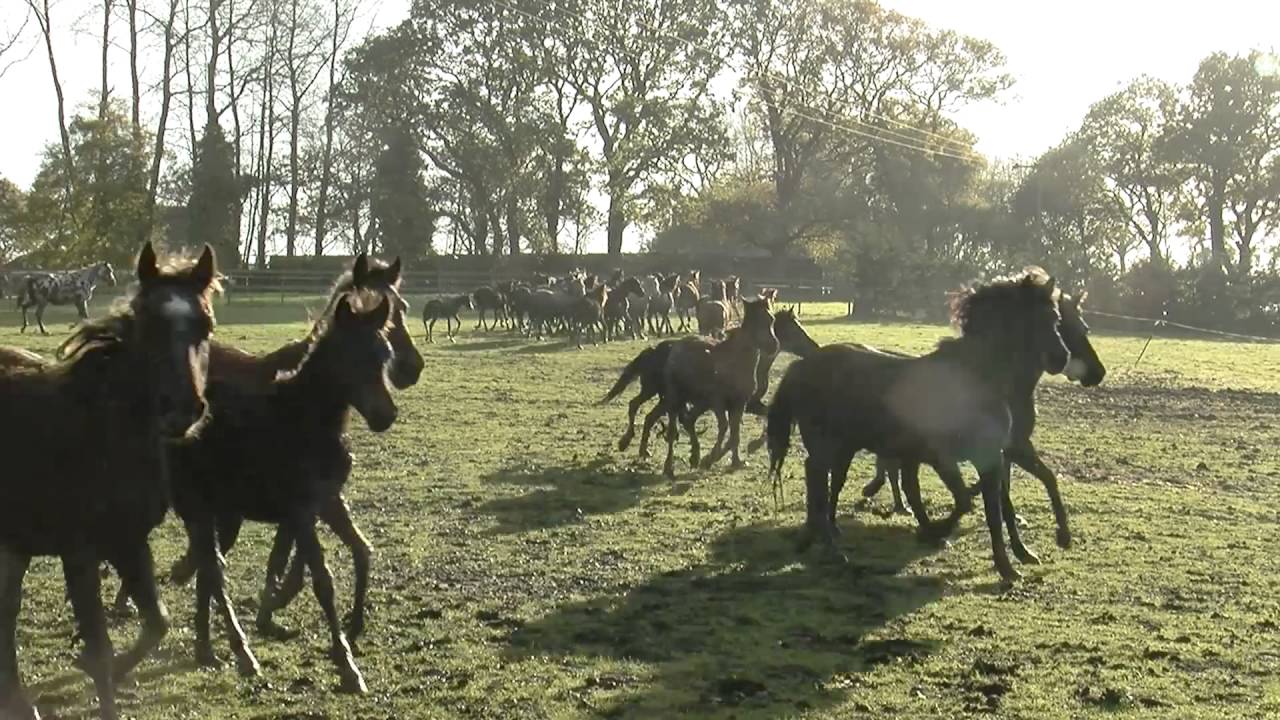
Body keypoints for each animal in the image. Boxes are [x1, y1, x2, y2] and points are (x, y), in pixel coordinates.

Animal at [0, 243, 218, 720]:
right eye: (149, 326)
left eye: (207, 325)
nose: (181, 410)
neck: (103, 432)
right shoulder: (79, 551)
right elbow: (100, 648)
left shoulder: (129, 541)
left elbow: (157, 622)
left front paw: (109, 666)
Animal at [168, 291, 397, 694]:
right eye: (351, 356)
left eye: (384, 355)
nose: (385, 416)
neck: (305, 420)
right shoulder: (301, 511)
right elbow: (322, 580)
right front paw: (346, 665)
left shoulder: (329, 501)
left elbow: (362, 550)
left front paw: (354, 630)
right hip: (197, 507)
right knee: (213, 569)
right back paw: (242, 653)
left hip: (223, 514)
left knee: (209, 567)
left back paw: (206, 649)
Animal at [653, 297, 778, 478]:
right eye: (756, 321)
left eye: (771, 319)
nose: (773, 346)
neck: (736, 361)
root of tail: (676, 347)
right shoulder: (718, 402)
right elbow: (725, 427)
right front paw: (710, 459)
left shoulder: (739, 404)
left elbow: (735, 433)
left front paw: (736, 462)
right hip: (676, 398)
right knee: (674, 428)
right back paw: (670, 467)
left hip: (700, 402)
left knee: (689, 420)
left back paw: (695, 457)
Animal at [765, 268, 1070, 583]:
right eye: (1037, 319)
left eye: (1056, 318)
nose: (1061, 358)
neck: (975, 376)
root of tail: (802, 366)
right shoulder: (947, 457)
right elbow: (970, 503)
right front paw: (942, 535)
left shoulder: (992, 457)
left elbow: (999, 506)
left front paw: (1022, 558)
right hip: (827, 443)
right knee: (817, 478)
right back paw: (828, 545)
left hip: (843, 445)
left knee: (824, 480)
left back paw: (816, 538)